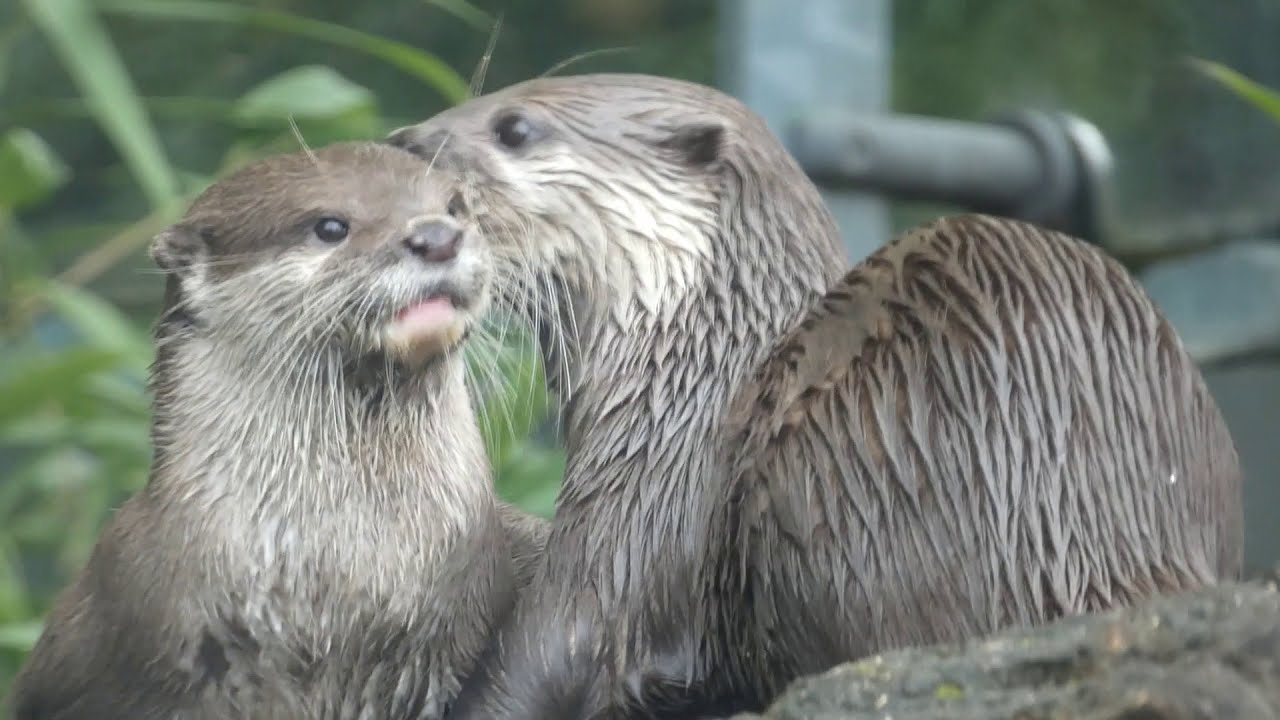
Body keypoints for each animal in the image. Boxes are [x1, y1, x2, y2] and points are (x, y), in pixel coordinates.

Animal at [387, 73, 1243, 718]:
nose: (400, 144)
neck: (689, 372)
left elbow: (546, 657)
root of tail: (1079, 533)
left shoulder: (638, 522)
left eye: (515, 127)